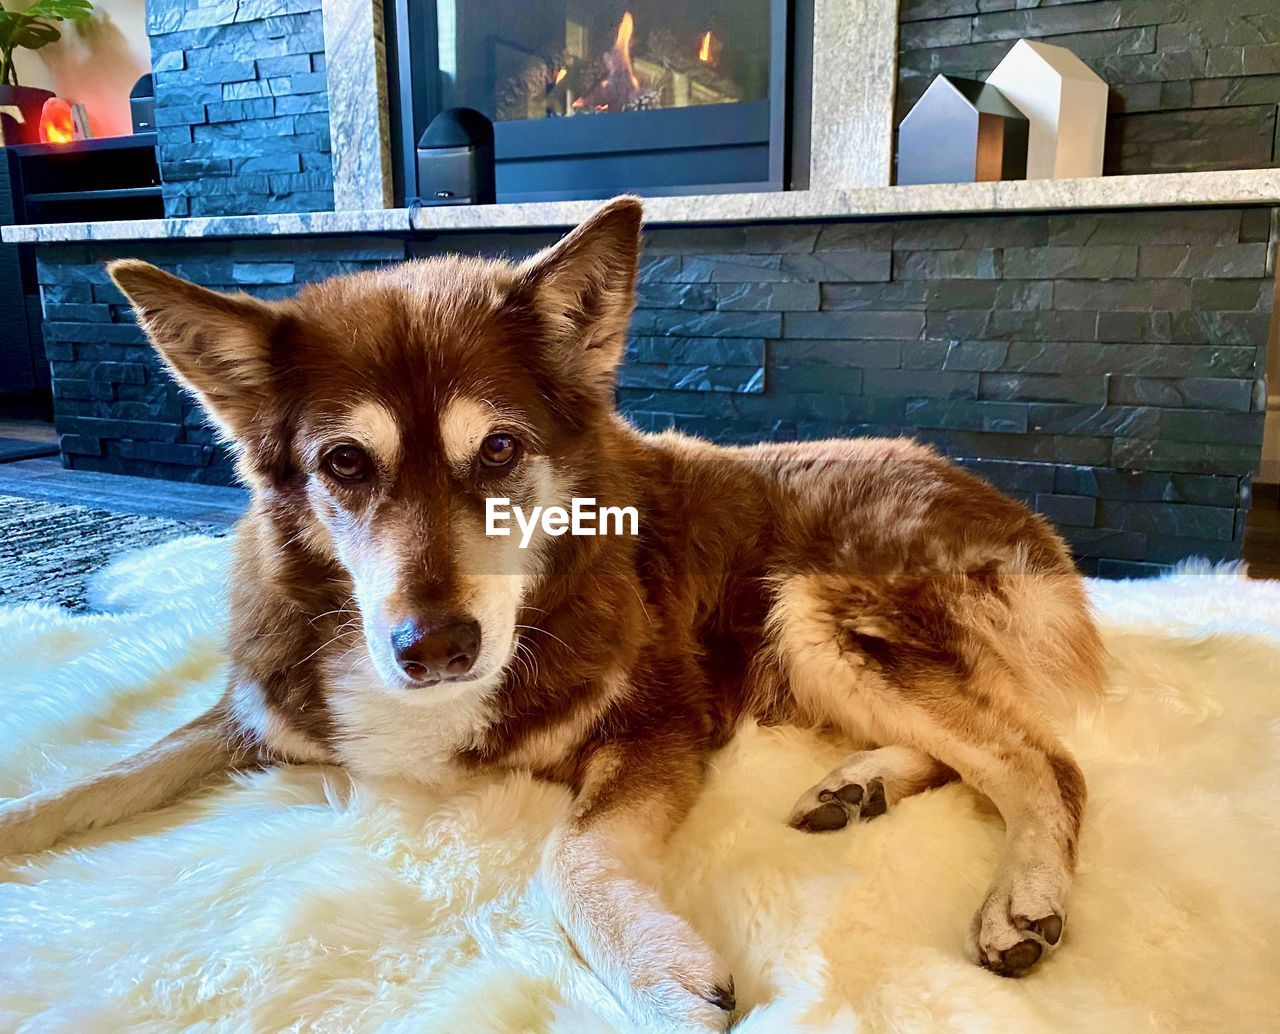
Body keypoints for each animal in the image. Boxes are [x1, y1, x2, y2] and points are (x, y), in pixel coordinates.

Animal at [0, 198, 1100, 1028]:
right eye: (343, 463)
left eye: (498, 448)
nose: (435, 648)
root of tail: (1019, 516)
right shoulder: (260, 710)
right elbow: (103, 775)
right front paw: (26, 815)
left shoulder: (658, 722)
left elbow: (568, 860)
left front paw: (661, 979)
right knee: (977, 743)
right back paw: (857, 785)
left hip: (814, 611)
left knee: (1043, 757)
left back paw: (1024, 895)